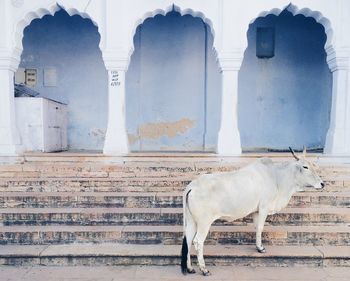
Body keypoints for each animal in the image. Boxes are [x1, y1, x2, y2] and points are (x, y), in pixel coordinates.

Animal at [182, 148, 324, 274]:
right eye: (305, 167)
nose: (322, 184)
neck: (276, 177)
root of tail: (192, 186)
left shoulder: (256, 211)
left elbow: (256, 228)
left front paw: (258, 246)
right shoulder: (264, 207)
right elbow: (260, 227)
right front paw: (260, 248)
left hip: (192, 221)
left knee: (188, 239)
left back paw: (190, 268)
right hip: (204, 222)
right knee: (198, 241)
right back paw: (204, 269)